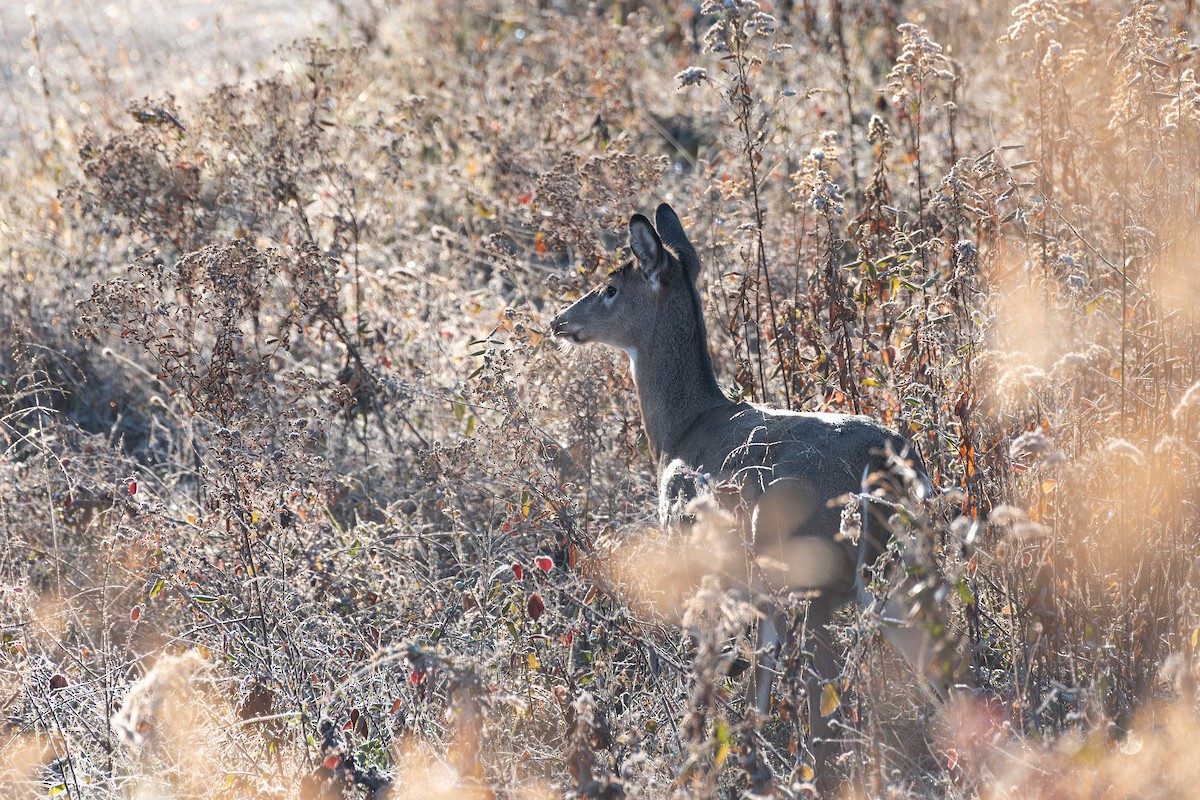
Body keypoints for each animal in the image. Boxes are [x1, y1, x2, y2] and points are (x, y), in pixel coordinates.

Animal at [550, 203, 951, 783]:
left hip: (816, 575)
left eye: (610, 287)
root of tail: (891, 461)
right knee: (947, 673)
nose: (559, 322)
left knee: (828, 705)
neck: (681, 431)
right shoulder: (760, 598)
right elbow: (760, 686)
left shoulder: (700, 563)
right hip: (897, 574)